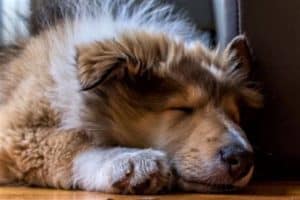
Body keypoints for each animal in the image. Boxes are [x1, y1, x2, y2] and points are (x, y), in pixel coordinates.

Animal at [0, 0, 262, 194]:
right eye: (182, 108)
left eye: (234, 116)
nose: (242, 159)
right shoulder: (16, 130)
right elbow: (71, 139)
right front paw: (129, 159)